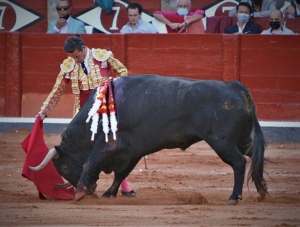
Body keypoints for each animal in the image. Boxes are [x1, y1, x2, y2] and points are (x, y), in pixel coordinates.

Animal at [30, 74, 268, 204]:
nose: (90, 190)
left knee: (239, 162)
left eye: (64, 168)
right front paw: (109, 193)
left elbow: (90, 162)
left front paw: (79, 193)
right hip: (242, 139)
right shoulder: (132, 151)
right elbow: (121, 173)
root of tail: (233, 86)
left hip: (222, 141)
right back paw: (262, 190)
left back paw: (234, 197)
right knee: (256, 155)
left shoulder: (109, 144)